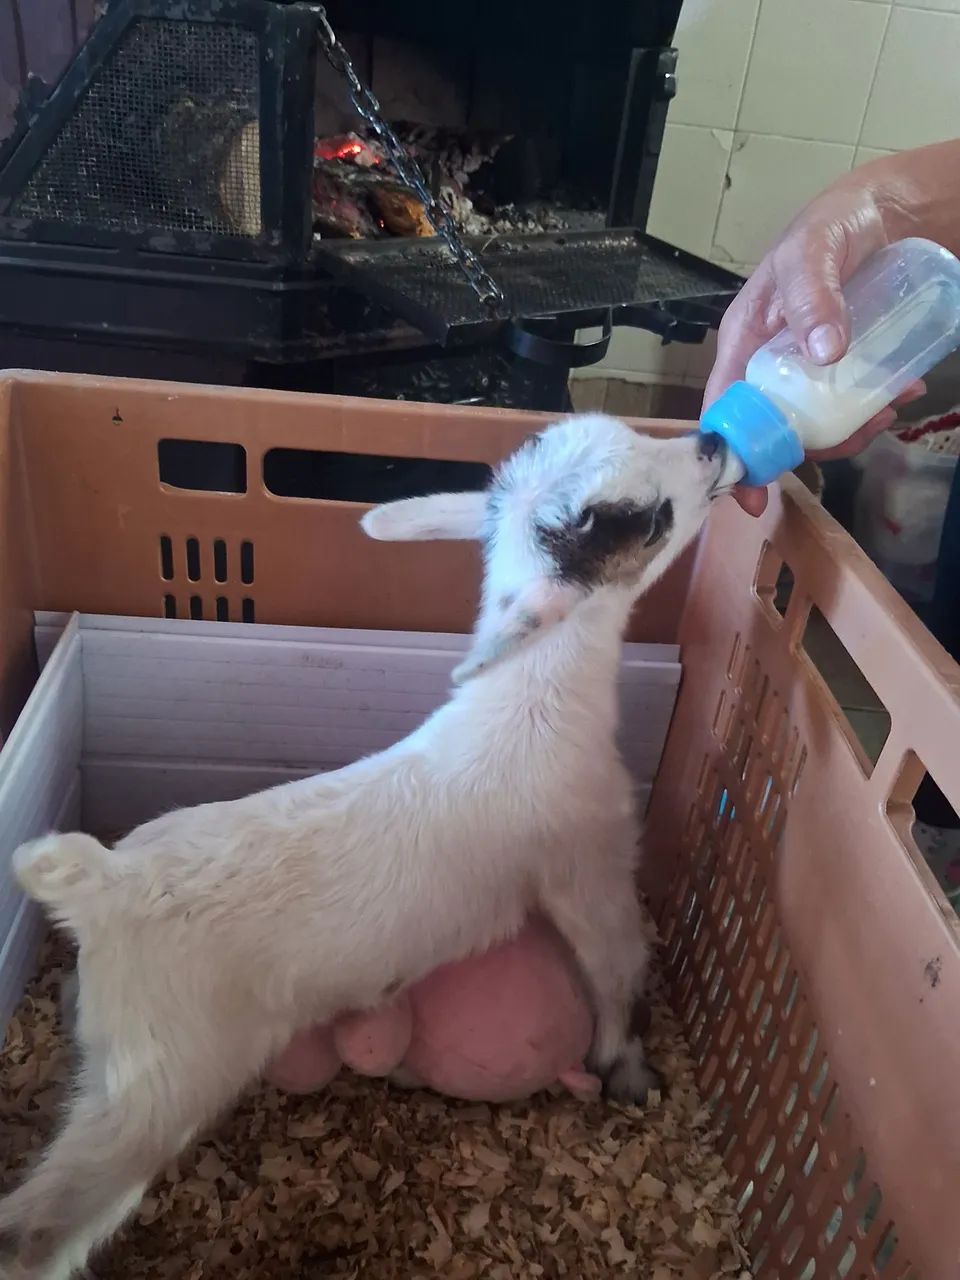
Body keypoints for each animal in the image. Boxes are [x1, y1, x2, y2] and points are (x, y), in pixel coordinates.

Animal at [0, 413, 725, 1279]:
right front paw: (630, 1068)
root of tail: (104, 883)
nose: (717, 444)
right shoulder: (592, 865)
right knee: (39, 1224)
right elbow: (617, 968)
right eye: (644, 518)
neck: (532, 701)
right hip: (160, 1082)